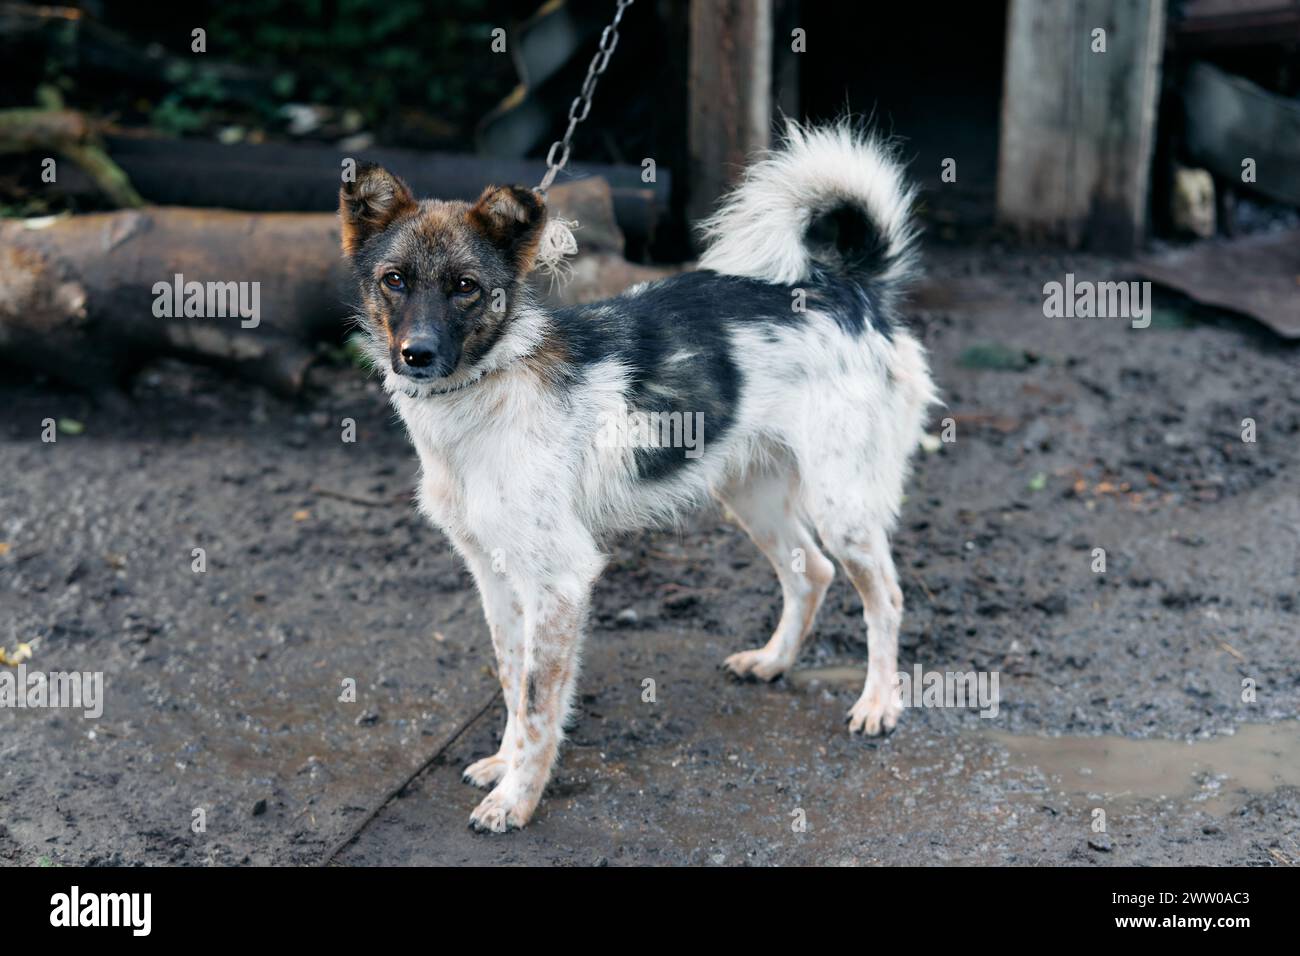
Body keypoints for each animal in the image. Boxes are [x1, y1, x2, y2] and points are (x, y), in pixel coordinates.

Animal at [340, 123, 941, 832]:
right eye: (394, 280)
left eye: (465, 286)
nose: (418, 355)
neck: (486, 392)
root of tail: (849, 290)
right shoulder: (492, 572)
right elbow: (513, 680)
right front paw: (503, 764)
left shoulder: (561, 579)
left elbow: (540, 702)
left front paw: (517, 798)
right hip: (751, 494)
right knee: (811, 573)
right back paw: (772, 662)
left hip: (840, 503)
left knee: (887, 597)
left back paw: (879, 703)